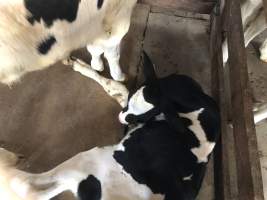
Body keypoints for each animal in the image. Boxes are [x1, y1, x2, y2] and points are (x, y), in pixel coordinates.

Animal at [0, 0, 138, 84]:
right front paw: (119, 76)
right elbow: (112, 53)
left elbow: (94, 48)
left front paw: (96, 65)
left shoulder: (92, 23)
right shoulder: (119, 14)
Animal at [0, 53, 220, 200]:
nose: (121, 119)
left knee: (24, 184)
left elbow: (116, 87)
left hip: (89, 159)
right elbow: (120, 90)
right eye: (131, 106)